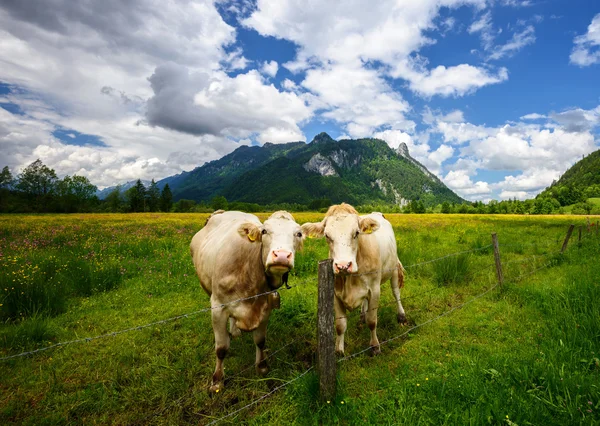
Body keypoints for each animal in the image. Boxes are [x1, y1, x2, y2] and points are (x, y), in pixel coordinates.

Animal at [191, 210, 304, 392]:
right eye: (264, 231)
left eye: (298, 234)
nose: (281, 256)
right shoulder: (217, 308)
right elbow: (221, 348)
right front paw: (217, 381)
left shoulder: (265, 307)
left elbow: (260, 341)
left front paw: (262, 367)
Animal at [302, 203, 406, 356]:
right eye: (327, 235)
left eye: (356, 233)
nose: (343, 265)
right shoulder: (335, 294)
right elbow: (340, 325)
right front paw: (339, 351)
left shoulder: (375, 290)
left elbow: (372, 320)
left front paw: (375, 346)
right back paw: (361, 317)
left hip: (393, 269)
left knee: (396, 293)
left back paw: (402, 316)